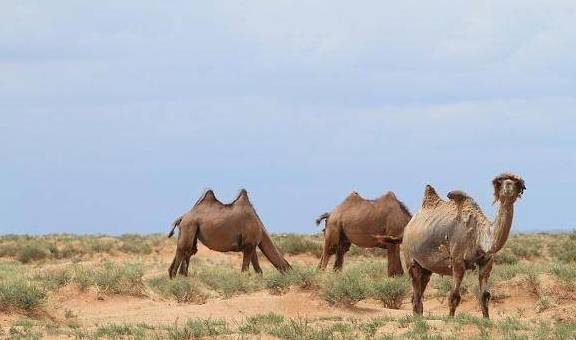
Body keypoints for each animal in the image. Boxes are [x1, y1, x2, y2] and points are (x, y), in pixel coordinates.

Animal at [402, 173, 524, 318]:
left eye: (518, 184)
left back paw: (418, 316)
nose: (509, 186)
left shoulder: (486, 262)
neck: (479, 234)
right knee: (416, 287)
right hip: (410, 257)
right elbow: (454, 296)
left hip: (426, 267)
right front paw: (450, 319)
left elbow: (485, 295)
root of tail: (408, 225)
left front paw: (487, 319)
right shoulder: (457, 261)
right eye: (500, 183)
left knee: (421, 286)